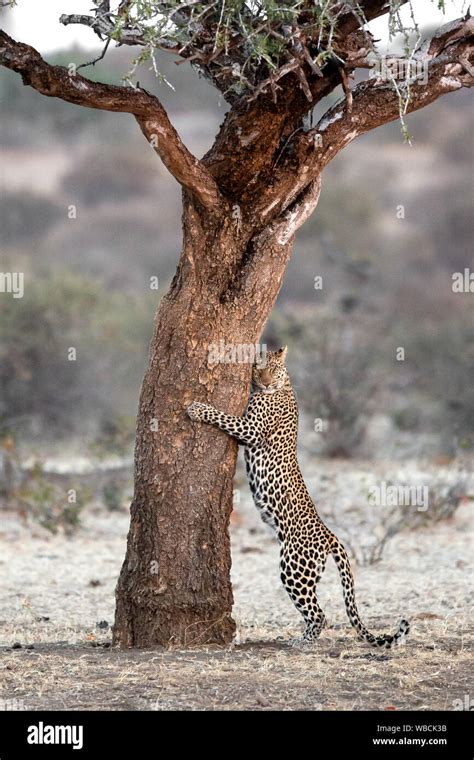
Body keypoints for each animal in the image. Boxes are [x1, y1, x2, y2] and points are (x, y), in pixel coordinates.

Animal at [187, 346, 410, 648]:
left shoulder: (250, 428)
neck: (284, 385)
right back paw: (298, 637)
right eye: (257, 368)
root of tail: (329, 535)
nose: (266, 382)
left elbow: (222, 416)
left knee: (320, 614)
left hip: (294, 566)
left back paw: (302, 642)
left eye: (273, 369)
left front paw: (197, 408)